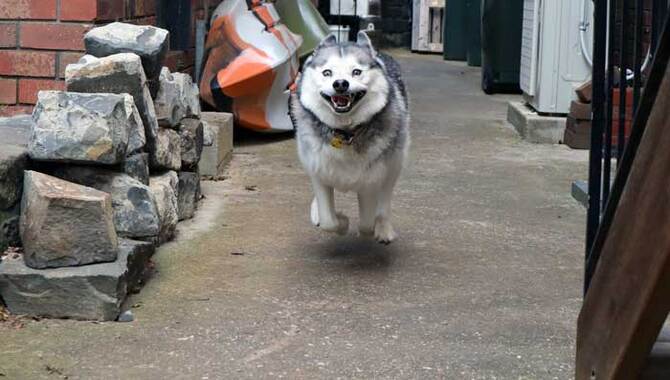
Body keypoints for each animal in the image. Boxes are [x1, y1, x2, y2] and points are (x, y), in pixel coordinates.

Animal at [292, 30, 412, 243]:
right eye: (327, 73)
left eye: (356, 72)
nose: (340, 84)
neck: (345, 133)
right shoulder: (319, 172)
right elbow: (328, 220)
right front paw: (341, 222)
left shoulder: (371, 181)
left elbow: (366, 224)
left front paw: (366, 228)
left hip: (395, 163)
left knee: (385, 200)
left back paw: (384, 228)